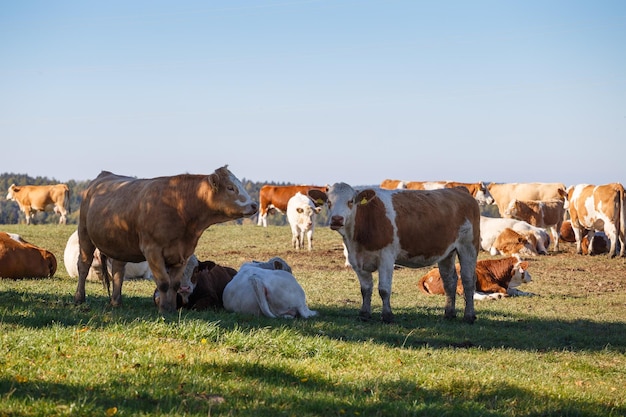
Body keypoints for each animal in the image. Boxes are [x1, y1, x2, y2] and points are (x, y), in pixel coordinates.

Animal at [74, 166, 258, 312]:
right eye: (230, 188)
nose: (255, 205)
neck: (180, 205)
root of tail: (104, 175)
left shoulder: (183, 253)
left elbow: (174, 284)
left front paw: (171, 308)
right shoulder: (152, 250)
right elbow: (163, 282)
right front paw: (163, 310)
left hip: (121, 245)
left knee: (119, 271)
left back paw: (116, 301)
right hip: (84, 234)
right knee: (83, 265)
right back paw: (79, 298)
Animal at [310, 181, 480, 322]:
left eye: (350, 202)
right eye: (328, 202)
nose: (337, 219)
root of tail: (459, 190)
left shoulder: (386, 257)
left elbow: (384, 289)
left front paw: (387, 316)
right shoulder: (356, 260)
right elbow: (365, 289)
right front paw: (364, 314)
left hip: (468, 247)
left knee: (467, 280)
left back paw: (469, 316)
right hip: (447, 252)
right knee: (449, 280)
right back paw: (449, 313)